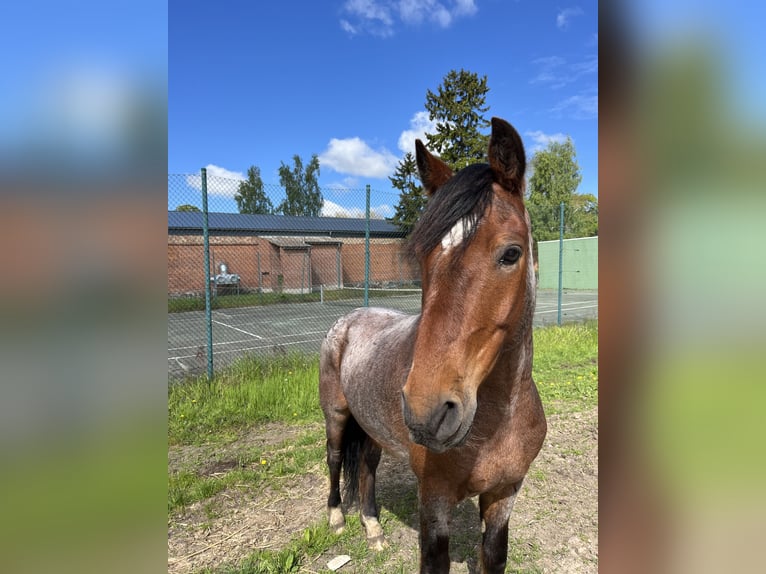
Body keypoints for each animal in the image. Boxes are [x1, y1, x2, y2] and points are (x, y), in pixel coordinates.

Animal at [319, 117, 547, 573]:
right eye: (423, 258)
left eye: (511, 253)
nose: (428, 412)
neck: (498, 421)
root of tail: (348, 320)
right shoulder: (435, 503)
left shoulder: (503, 497)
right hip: (336, 415)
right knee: (334, 458)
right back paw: (336, 516)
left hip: (371, 429)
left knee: (367, 468)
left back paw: (373, 528)